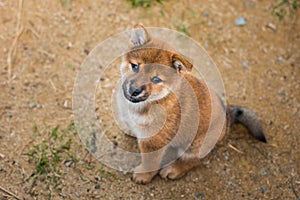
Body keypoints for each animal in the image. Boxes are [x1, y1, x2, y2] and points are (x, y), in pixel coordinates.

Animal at [115, 24, 268, 184]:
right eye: (135, 66)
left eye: (156, 79)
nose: (134, 90)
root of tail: (227, 116)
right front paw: (130, 129)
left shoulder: (154, 142)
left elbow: (150, 162)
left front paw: (143, 175)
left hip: (196, 144)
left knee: (194, 161)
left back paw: (173, 170)